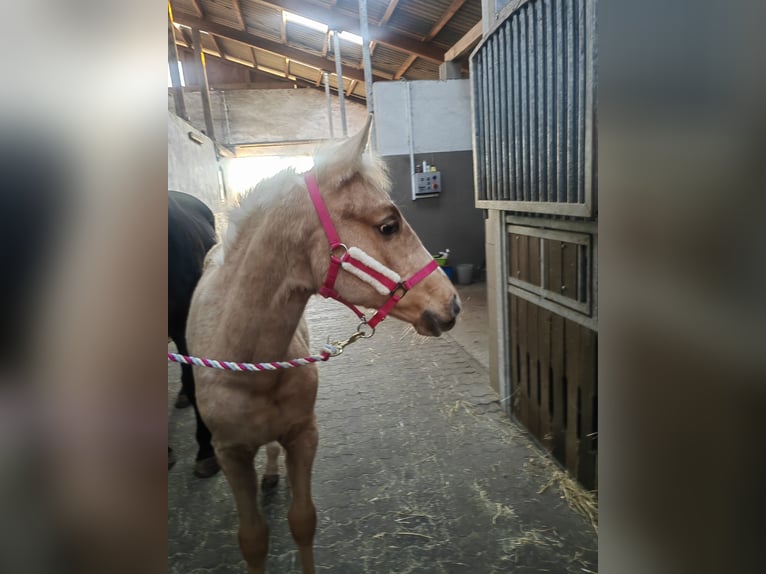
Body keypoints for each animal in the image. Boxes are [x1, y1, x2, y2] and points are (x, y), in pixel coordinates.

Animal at [186, 116, 461, 573]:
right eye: (388, 225)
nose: (452, 304)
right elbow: (253, 539)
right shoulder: (230, 454)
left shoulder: (304, 435)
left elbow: (302, 521)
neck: (247, 365)